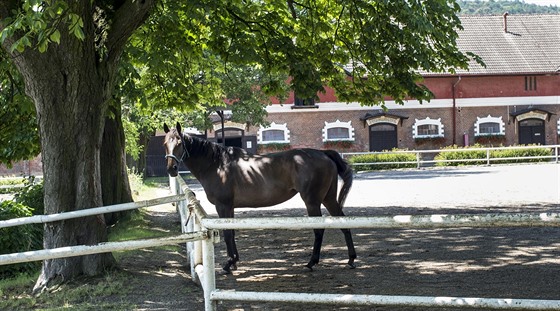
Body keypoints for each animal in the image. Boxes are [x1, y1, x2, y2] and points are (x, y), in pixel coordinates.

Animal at [163, 122, 354, 272]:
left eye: (179, 143)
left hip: (312, 201)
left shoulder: (222, 205)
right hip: (328, 198)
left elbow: (227, 234)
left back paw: (311, 262)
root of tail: (324, 154)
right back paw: (351, 259)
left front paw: (229, 264)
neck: (217, 165)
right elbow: (231, 232)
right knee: (343, 223)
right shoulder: (229, 207)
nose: (172, 169)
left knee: (319, 229)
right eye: (165, 143)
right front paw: (234, 262)